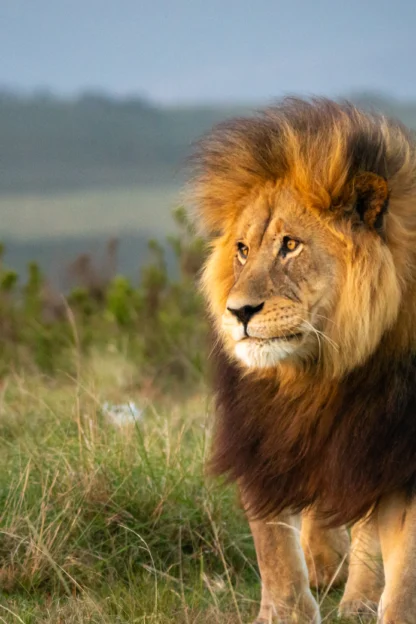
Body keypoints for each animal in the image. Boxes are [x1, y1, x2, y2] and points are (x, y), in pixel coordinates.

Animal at [191, 100, 416, 620]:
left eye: (290, 245)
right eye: (242, 250)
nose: (238, 312)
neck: (321, 371)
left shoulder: (395, 447)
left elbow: (406, 570)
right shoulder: (264, 436)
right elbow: (273, 545)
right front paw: (284, 613)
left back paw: (357, 599)